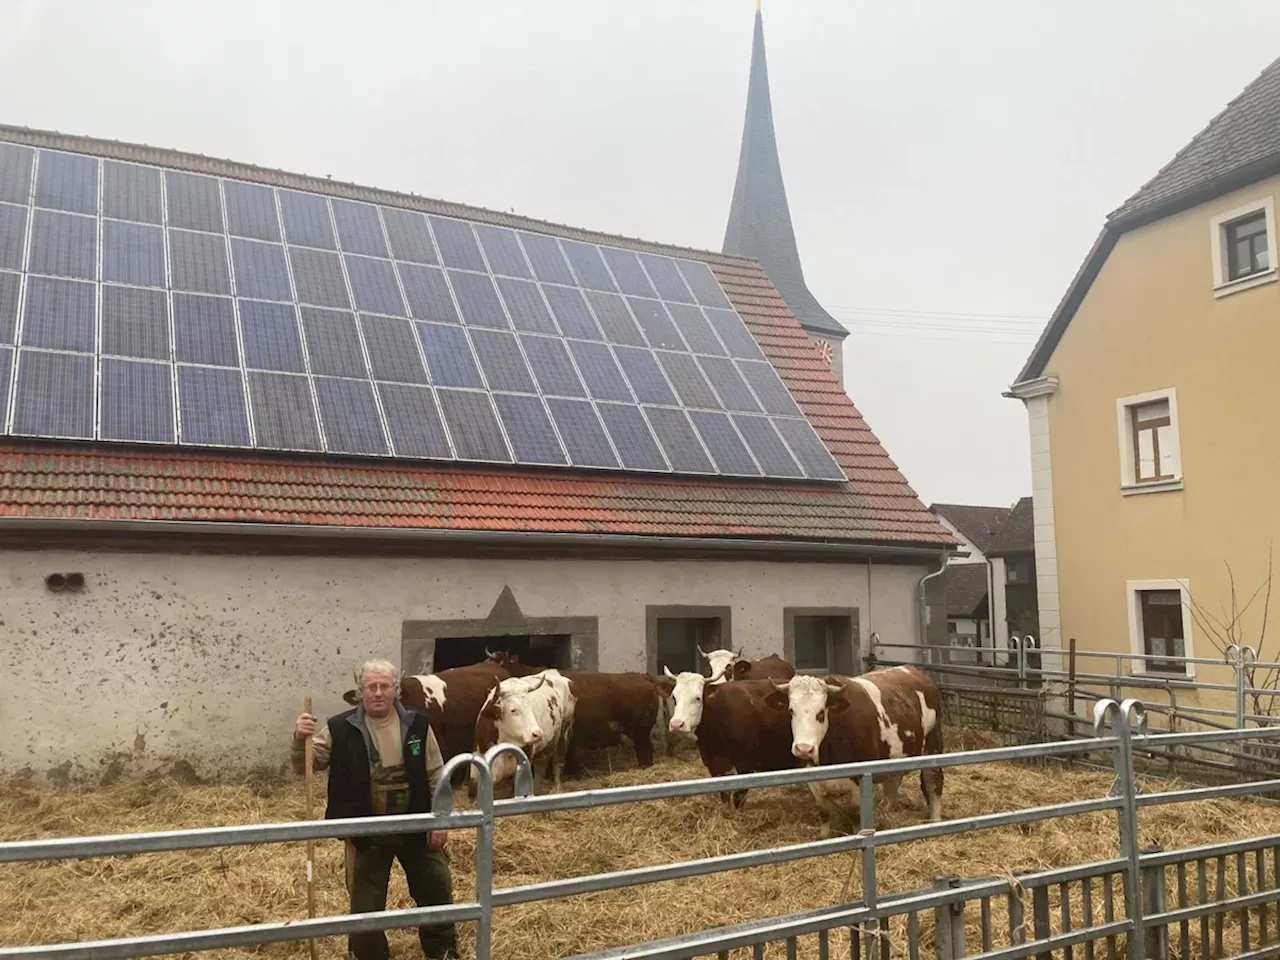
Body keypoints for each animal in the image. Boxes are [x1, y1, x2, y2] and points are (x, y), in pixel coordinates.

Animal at [471, 670, 576, 798]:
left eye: (531, 707)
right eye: (513, 710)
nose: (537, 733)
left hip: (563, 734)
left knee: (557, 763)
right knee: (541, 766)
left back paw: (557, 790)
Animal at [655, 665, 793, 808]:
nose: (676, 724)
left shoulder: (745, 764)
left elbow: (739, 796)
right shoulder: (714, 765)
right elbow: (725, 794)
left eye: (697, 698)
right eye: (674, 697)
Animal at [762, 665, 947, 839]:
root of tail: (913, 670)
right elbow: (824, 811)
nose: (804, 749)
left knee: (933, 782)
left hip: (932, 745)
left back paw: (935, 820)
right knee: (892, 785)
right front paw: (824, 837)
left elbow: (855, 814)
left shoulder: (859, 779)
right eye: (791, 710)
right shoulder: (813, 779)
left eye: (821, 711)